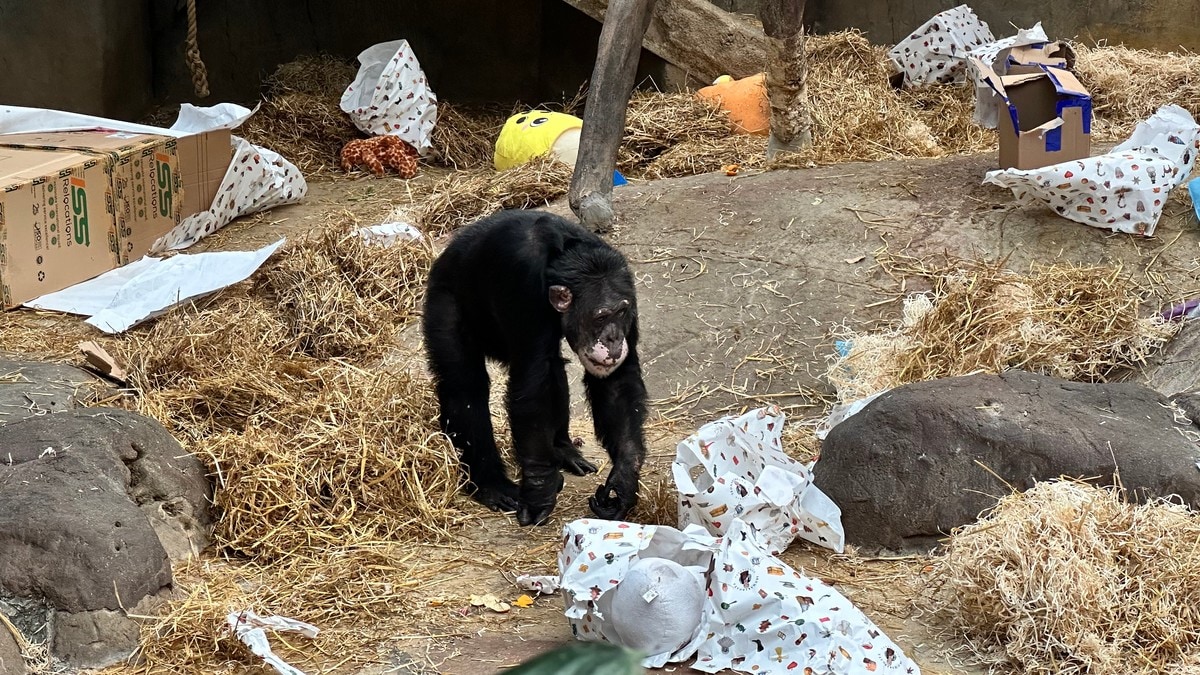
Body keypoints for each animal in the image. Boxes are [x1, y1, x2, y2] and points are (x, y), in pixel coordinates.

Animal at [422, 207, 648, 523]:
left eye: (621, 312)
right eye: (601, 317)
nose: (614, 337)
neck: (562, 256)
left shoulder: (627, 287)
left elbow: (617, 382)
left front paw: (623, 482)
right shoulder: (524, 288)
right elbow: (532, 389)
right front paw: (540, 490)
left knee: (555, 369)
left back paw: (563, 451)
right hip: (443, 299)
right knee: (465, 386)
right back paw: (492, 485)